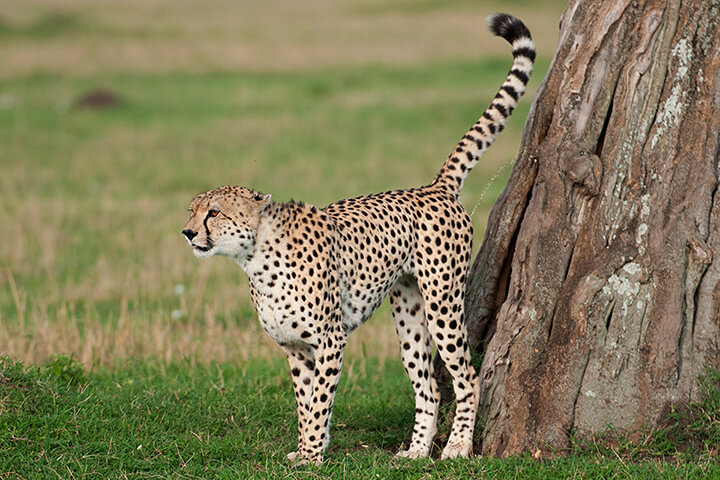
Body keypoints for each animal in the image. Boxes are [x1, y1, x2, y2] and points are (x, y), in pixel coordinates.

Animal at [183, 14, 532, 464]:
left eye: (214, 212)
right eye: (192, 209)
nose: (188, 232)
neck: (255, 256)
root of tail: (432, 187)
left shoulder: (330, 339)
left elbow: (319, 401)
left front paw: (312, 456)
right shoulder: (296, 349)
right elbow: (305, 401)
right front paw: (304, 449)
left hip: (443, 300)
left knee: (467, 376)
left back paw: (456, 446)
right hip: (408, 312)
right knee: (428, 385)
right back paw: (417, 450)